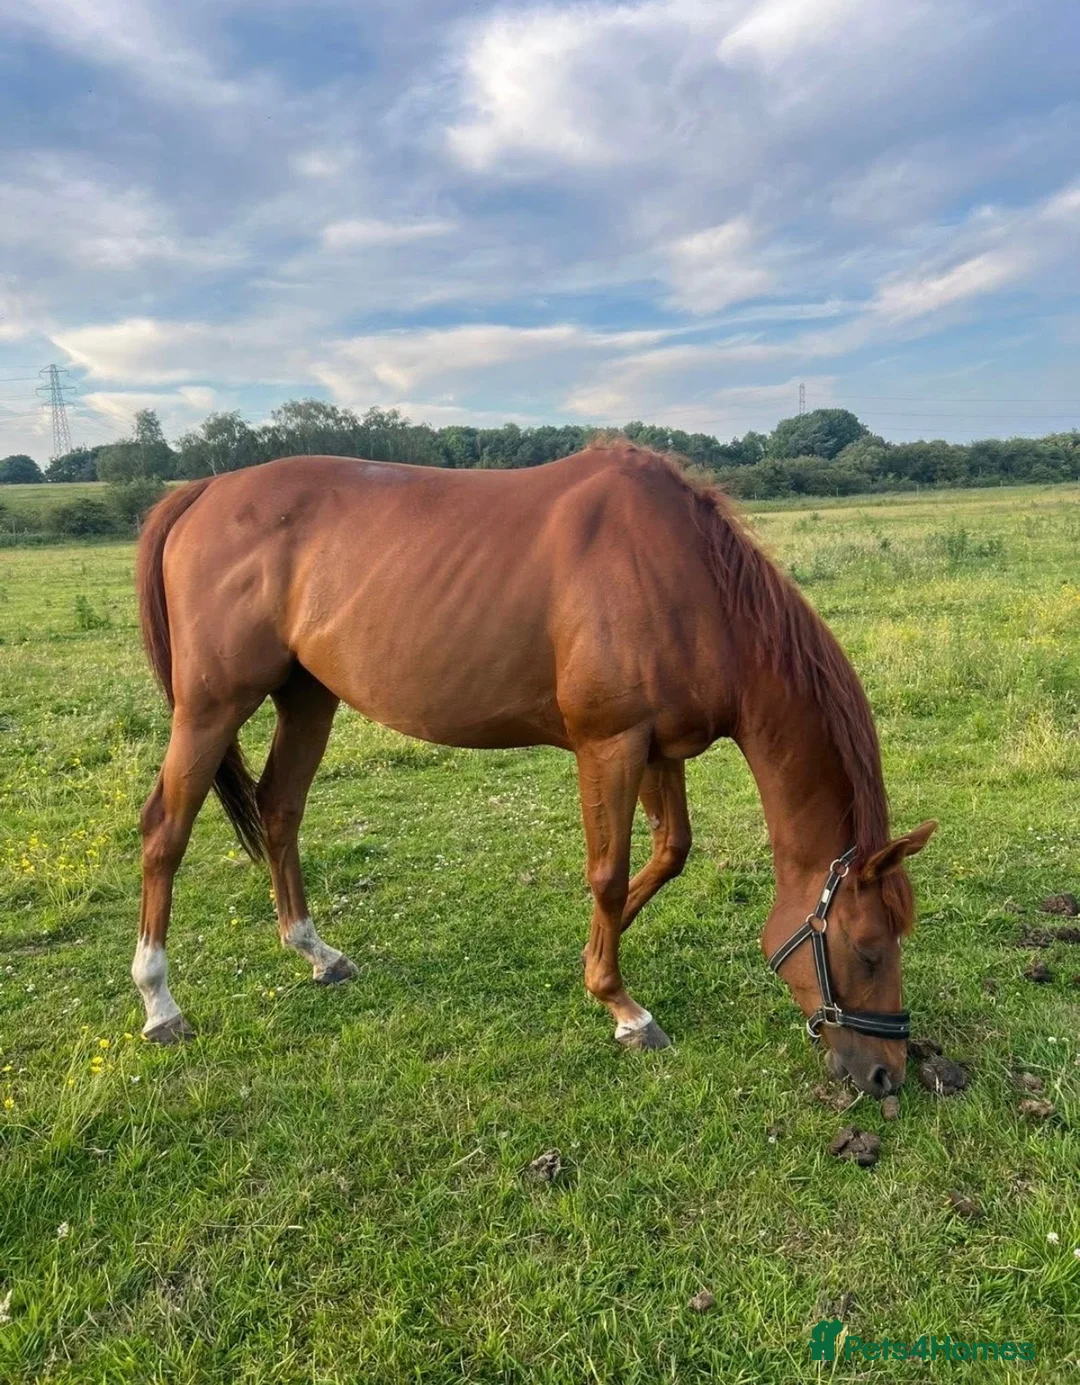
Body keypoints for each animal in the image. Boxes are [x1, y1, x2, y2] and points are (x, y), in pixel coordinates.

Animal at [133, 441, 934, 1095]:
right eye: (867, 950)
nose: (887, 1075)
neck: (686, 577)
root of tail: (204, 491)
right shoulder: (610, 744)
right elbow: (609, 872)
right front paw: (622, 1006)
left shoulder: (657, 749)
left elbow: (669, 852)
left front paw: (591, 963)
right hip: (211, 706)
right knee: (164, 832)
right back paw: (159, 1001)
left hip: (307, 697)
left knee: (280, 809)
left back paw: (316, 952)